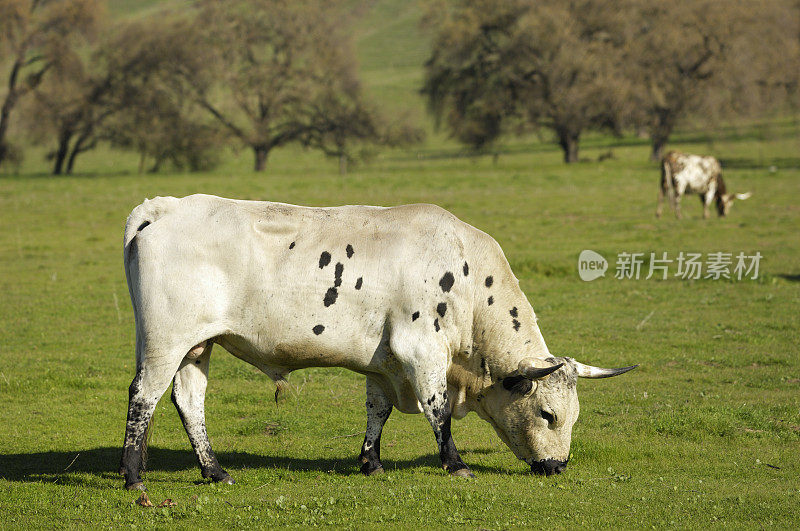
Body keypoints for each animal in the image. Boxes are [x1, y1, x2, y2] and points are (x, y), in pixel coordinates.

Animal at [117, 195, 636, 490]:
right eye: (547, 414)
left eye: (573, 416)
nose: (558, 467)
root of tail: (163, 206)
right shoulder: (422, 352)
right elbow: (437, 410)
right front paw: (455, 464)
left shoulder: (383, 363)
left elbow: (377, 410)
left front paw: (371, 462)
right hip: (166, 340)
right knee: (144, 396)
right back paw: (133, 475)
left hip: (196, 346)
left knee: (189, 400)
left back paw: (214, 471)